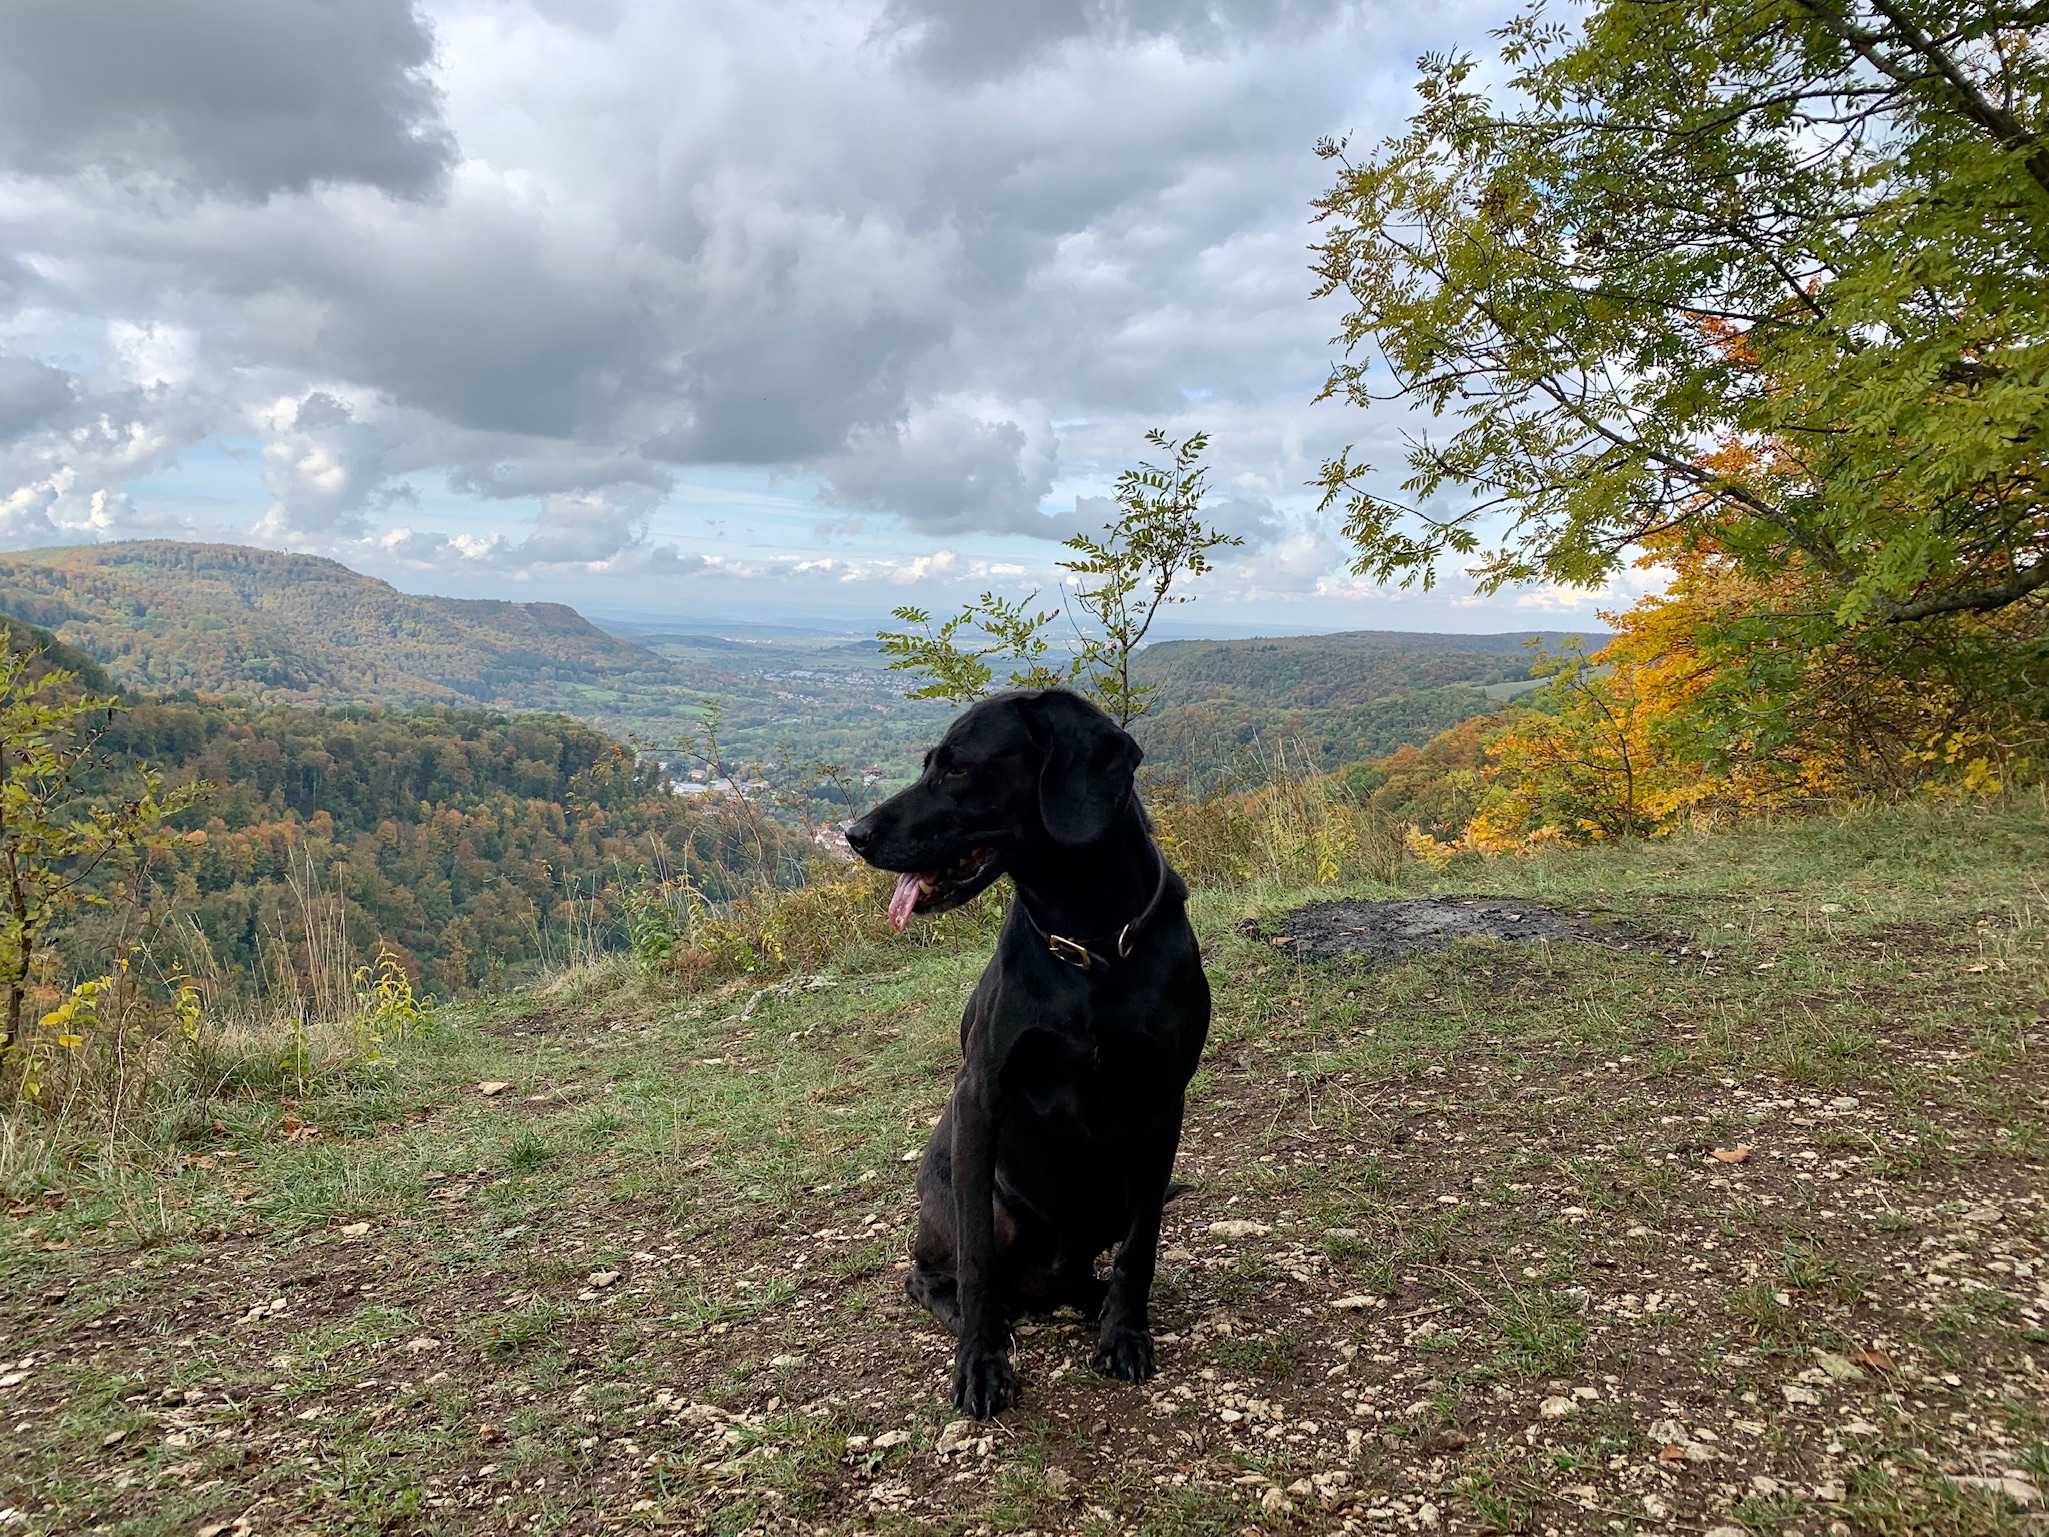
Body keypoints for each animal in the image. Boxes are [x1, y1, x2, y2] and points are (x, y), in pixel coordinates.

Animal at [840, 684, 1204, 1418]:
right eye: (928, 761)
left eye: (956, 766)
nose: (854, 834)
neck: (1089, 946)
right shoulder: (982, 1095)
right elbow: (977, 1261)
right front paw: (980, 1363)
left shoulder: (1163, 1103)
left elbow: (1141, 1244)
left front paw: (1126, 1331)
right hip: (984, 1207)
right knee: (931, 1273)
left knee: (1097, 1262)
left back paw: (1094, 1300)